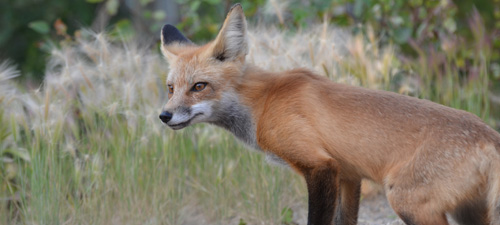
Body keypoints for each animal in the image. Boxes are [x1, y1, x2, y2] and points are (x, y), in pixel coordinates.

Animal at [159, 3, 500, 225]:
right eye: (170, 88)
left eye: (199, 87)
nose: (164, 116)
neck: (264, 102)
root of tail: (490, 135)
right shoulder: (347, 175)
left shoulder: (320, 167)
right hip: (469, 211)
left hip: (408, 203)